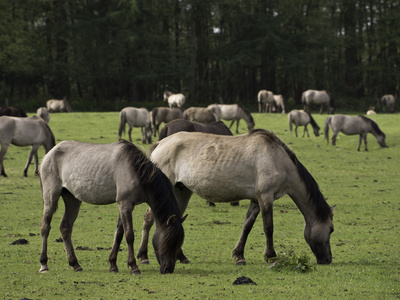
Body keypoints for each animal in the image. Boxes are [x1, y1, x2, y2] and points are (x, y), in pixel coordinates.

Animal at [39, 140, 186, 274]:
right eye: (169, 241)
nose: (168, 269)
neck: (136, 170)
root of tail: (50, 153)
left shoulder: (125, 206)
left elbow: (119, 234)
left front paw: (113, 265)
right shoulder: (125, 204)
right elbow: (129, 235)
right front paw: (134, 266)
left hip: (72, 199)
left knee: (65, 228)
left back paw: (75, 264)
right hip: (51, 198)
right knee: (45, 227)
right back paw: (44, 264)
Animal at [138, 130, 334, 266]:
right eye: (331, 229)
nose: (328, 259)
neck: (278, 159)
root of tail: (161, 143)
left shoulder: (256, 200)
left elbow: (247, 226)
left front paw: (239, 255)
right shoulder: (266, 197)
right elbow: (268, 227)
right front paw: (271, 256)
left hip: (181, 190)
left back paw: (181, 256)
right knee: (148, 219)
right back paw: (143, 256)